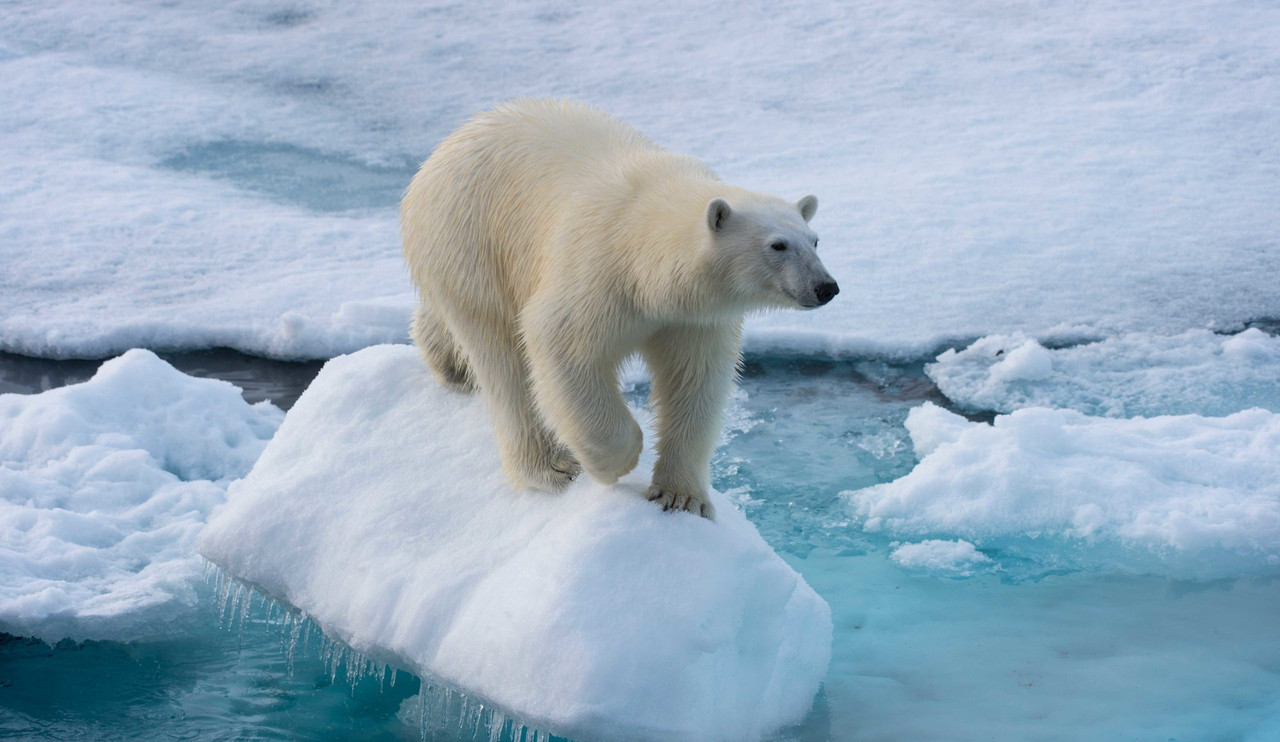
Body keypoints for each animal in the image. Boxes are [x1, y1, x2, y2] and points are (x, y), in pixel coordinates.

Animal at [401, 99, 837, 518]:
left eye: (814, 240)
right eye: (777, 245)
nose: (826, 287)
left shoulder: (692, 318)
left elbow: (695, 381)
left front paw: (682, 496)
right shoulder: (598, 272)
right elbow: (561, 346)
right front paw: (616, 462)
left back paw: (448, 364)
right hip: (471, 241)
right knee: (503, 360)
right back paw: (552, 468)